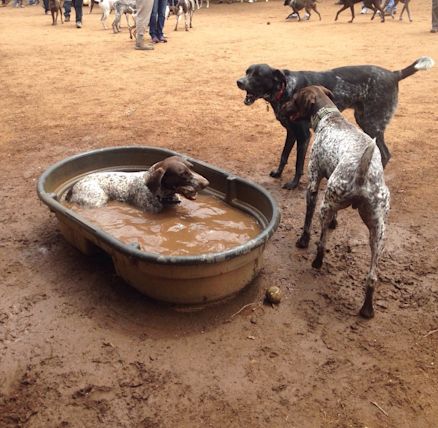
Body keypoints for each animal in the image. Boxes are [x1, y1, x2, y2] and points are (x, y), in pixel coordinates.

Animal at [238, 56, 436, 189]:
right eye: (247, 71)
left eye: (257, 75)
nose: (238, 81)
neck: (285, 89)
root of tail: (394, 74)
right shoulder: (291, 132)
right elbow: (284, 156)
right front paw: (278, 173)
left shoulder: (304, 136)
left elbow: (298, 164)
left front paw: (293, 184)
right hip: (364, 120)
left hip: (371, 123)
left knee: (385, 154)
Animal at [284, 87, 390, 320]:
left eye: (294, 99)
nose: (283, 105)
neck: (330, 118)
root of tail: (362, 174)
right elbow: (335, 217)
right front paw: (335, 222)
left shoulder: (313, 184)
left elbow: (307, 221)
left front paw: (302, 241)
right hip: (378, 231)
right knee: (372, 276)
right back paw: (367, 309)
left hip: (324, 207)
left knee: (322, 243)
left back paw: (317, 262)